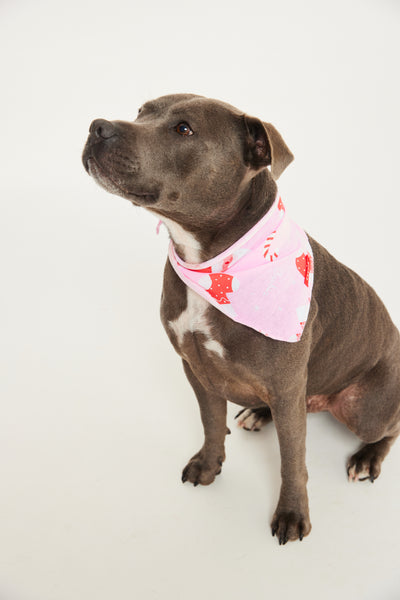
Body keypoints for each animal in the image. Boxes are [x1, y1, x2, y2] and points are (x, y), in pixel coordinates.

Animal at [82, 92, 400, 544]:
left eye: (183, 128)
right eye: (142, 111)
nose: (98, 126)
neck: (211, 262)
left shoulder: (286, 385)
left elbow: (293, 459)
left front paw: (292, 514)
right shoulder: (196, 368)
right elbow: (211, 422)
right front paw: (208, 465)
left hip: (364, 409)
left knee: (389, 427)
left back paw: (367, 458)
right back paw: (259, 412)